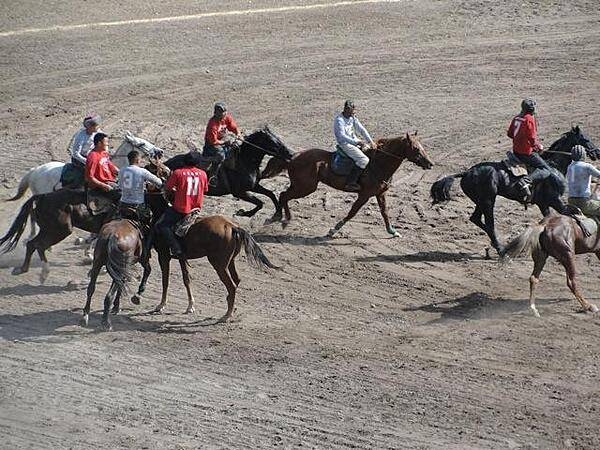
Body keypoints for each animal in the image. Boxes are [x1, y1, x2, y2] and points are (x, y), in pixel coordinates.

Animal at [144, 193, 278, 324]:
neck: (161, 211)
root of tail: (232, 226)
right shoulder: (181, 257)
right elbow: (186, 279)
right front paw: (190, 306)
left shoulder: (163, 256)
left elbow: (165, 280)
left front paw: (161, 305)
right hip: (230, 262)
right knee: (236, 280)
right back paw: (231, 308)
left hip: (219, 265)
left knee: (231, 286)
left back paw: (226, 315)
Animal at [164, 126, 296, 218]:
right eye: (274, 142)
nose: (290, 154)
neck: (244, 161)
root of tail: (166, 163)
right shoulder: (239, 192)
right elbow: (259, 202)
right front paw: (243, 213)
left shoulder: (253, 186)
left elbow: (270, 194)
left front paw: (278, 214)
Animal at [260, 132, 434, 237]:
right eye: (415, 148)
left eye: (422, 147)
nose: (430, 164)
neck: (378, 164)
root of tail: (293, 156)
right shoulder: (364, 194)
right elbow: (352, 212)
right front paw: (333, 229)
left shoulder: (380, 193)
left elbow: (384, 212)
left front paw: (392, 231)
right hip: (305, 187)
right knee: (284, 195)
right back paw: (282, 218)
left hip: (301, 186)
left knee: (283, 195)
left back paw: (281, 217)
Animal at [432, 126, 600, 253]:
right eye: (585, 139)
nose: (597, 152)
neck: (553, 165)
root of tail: (467, 172)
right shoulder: (556, 201)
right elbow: (573, 213)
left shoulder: (543, 204)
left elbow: (550, 218)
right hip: (488, 201)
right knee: (489, 224)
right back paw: (500, 248)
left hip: (480, 201)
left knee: (476, 219)